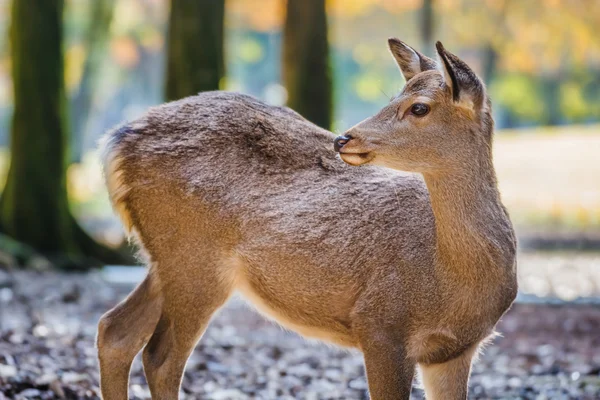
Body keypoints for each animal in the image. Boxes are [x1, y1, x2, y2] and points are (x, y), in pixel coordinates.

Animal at [97, 39, 516, 400]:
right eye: (395, 96)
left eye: (419, 107)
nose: (343, 138)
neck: (452, 279)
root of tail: (115, 142)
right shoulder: (380, 323)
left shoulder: (455, 351)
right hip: (194, 259)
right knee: (160, 358)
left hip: (165, 258)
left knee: (114, 331)